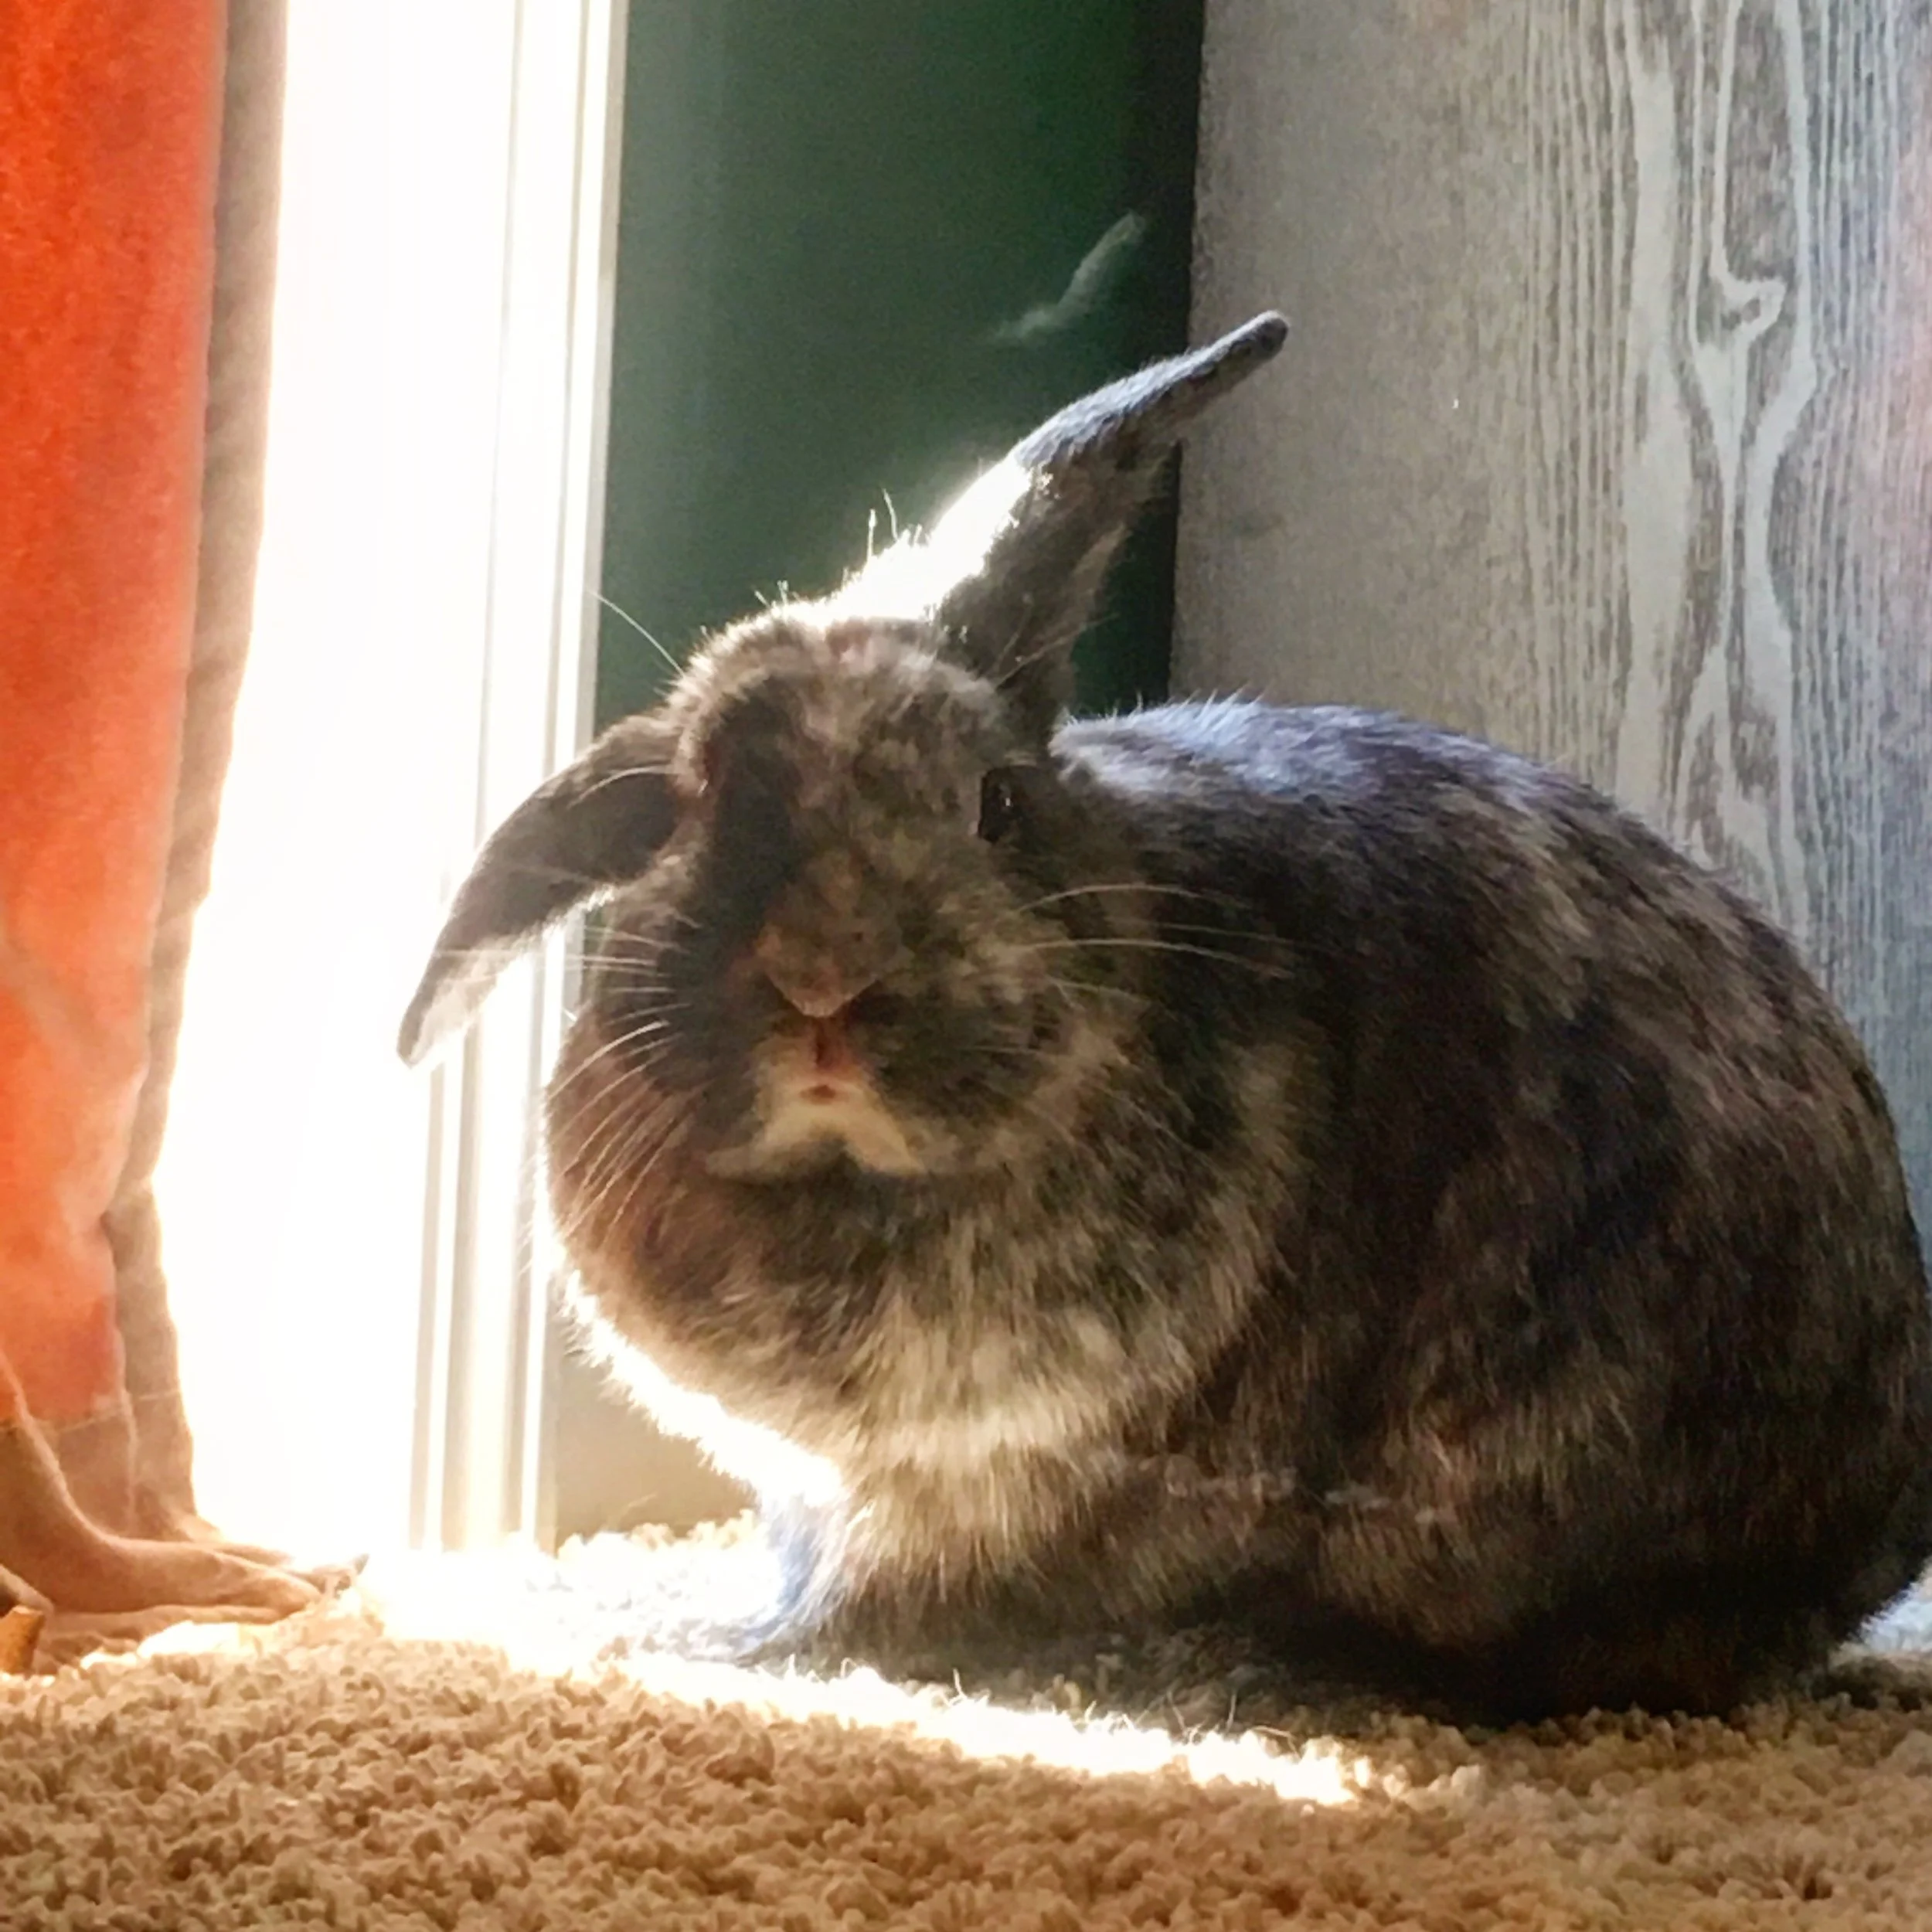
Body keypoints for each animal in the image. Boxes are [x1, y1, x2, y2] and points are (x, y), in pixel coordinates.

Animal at [398, 313, 1932, 1719]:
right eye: (693, 808)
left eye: (998, 805)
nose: (825, 981)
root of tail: (1873, 1548)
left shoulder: (981, 1485)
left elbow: (884, 1595)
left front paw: (717, 1653)